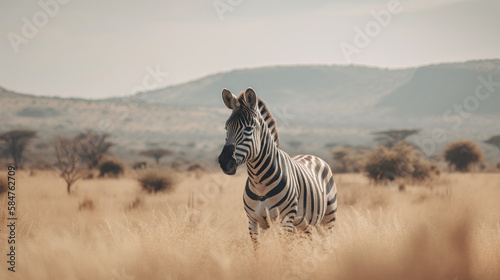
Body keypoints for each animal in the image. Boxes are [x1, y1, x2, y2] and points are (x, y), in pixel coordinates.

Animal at [218, 88, 338, 243]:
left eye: (249, 129)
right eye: (226, 128)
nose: (224, 161)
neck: (259, 183)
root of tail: (313, 156)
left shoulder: (285, 221)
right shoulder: (253, 222)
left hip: (328, 220)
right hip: (305, 225)